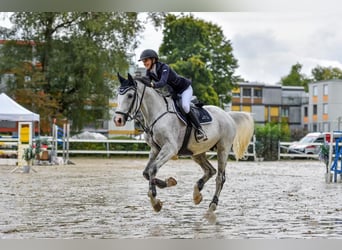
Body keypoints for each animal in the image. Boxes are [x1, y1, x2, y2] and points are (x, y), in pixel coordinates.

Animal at [114, 73, 254, 219]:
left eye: (130, 95)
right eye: (118, 94)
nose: (118, 120)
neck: (157, 114)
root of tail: (227, 115)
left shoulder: (170, 149)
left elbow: (152, 170)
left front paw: (155, 202)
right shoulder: (155, 149)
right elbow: (147, 173)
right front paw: (169, 182)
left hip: (223, 149)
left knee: (220, 177)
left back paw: (212, 206)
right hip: (197, 152)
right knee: (210, 170)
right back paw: (197, 194)